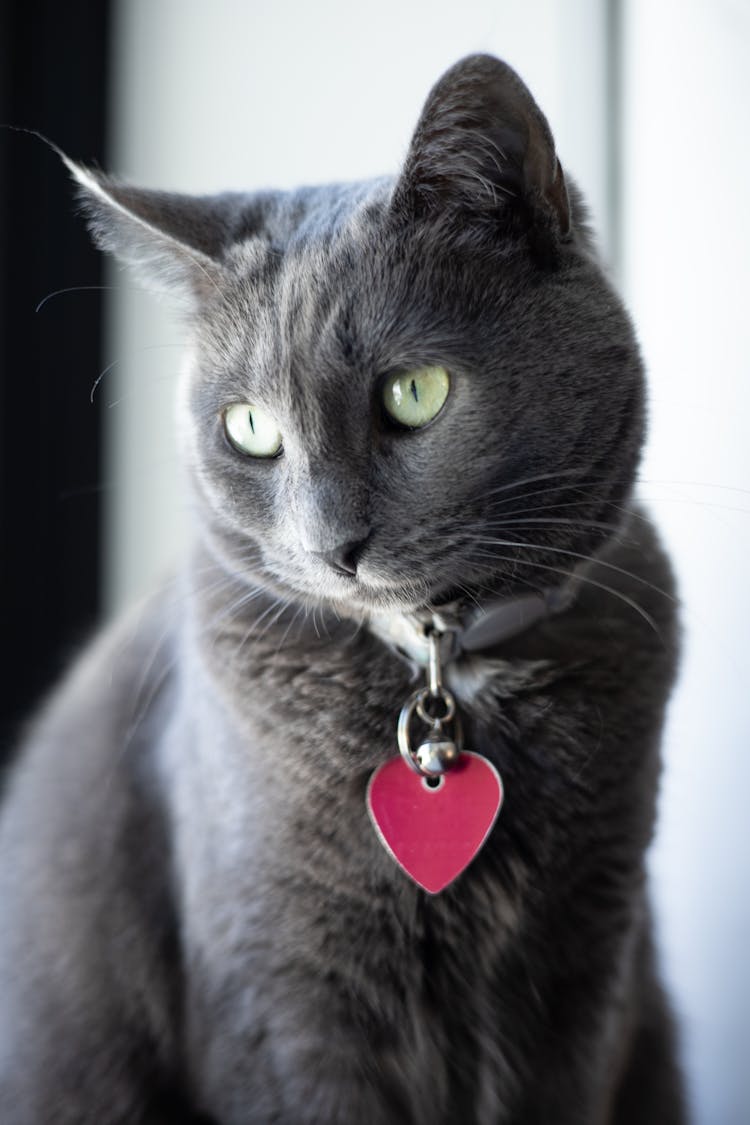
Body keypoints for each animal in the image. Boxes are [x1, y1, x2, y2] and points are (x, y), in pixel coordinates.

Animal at [0, 52, 688, 1125]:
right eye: (249, 427)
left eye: (415, 392)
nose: (333, 543)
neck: (443, 663)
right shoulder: (283, 988)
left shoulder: (589, 966)